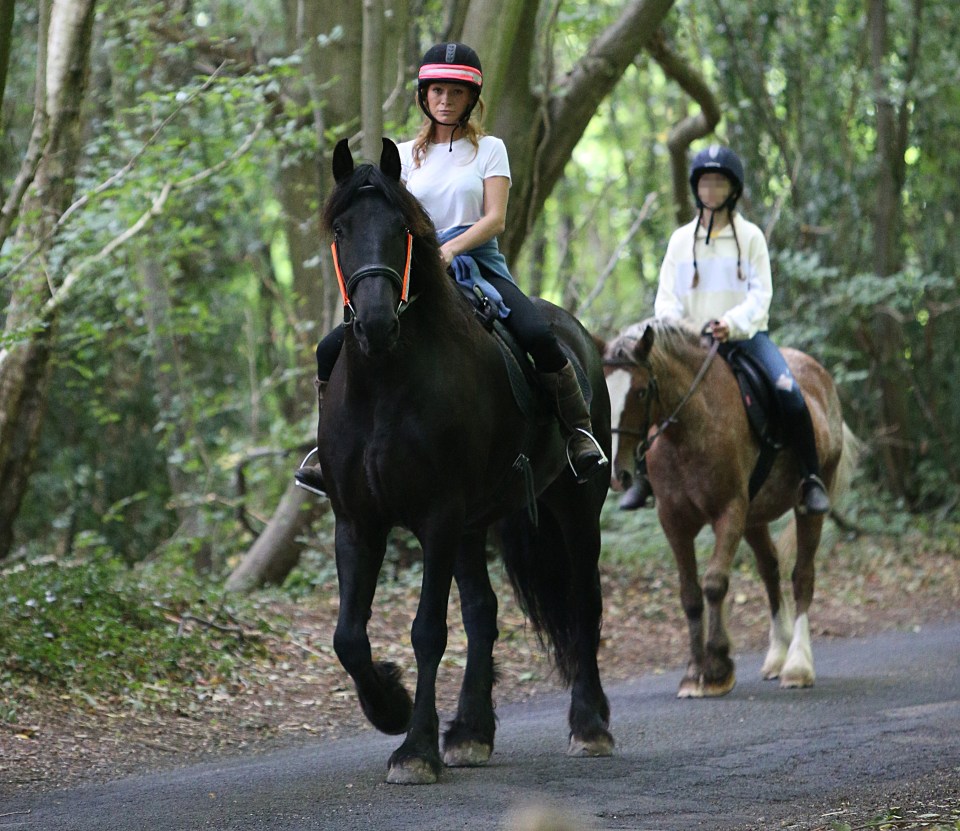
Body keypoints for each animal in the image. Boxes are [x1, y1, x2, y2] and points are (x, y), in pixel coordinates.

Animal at [316, 138, 616, 788]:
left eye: (401, 228)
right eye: (341, 228)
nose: (375, 323)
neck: (386, 381)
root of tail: (576, 332)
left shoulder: (438, 517)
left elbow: (428, 631)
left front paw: (414, 751)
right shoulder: (357, 520)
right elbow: (348, 636)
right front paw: (390, 707)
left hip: (575, 507)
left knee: (584, 602)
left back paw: (590, 727)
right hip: (479, 524)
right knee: (484, 612)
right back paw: (471, 733)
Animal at [604, 318, 860, 696]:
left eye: (640, 391)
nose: (617, 473)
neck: (689, 429)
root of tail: (820, 375)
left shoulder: (729, 512)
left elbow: (714, 583)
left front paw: (717, 668)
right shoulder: (674, 521)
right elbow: (690, 594)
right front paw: (694, 672)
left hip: (806, 506)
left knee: (802, 575)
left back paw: (797, 665)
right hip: (755, 518)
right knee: (770, 571)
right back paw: (777, 656)